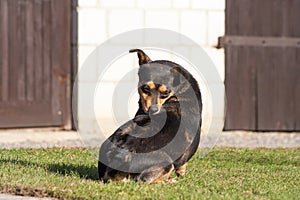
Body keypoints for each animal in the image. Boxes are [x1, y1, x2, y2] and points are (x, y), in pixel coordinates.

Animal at [98, 48, 202, 183]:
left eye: (165, 92)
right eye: (146, 88)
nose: (153, 110)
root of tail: (119, 156)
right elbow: (182, 167)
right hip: (166, 163)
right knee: (144, 180)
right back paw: (167, 181)